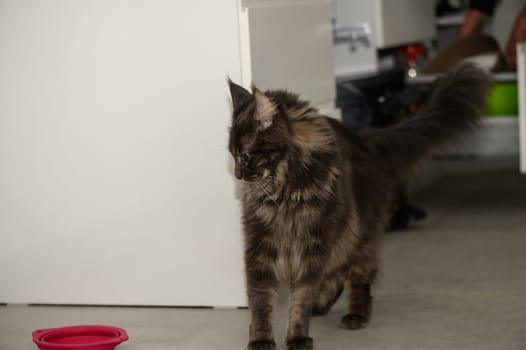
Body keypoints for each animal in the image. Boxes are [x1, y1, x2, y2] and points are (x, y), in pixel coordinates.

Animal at [229, 63, 492, 350]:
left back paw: (356, 314)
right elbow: (260, 301)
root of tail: (368, 143)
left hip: (359, 234)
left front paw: (297, 335)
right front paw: (261, 339)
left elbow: (301, 296)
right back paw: (322, 305)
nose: (237, 174)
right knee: (336, 273)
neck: (287, 192)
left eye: (245, 156)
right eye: (232, 155)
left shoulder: (313, 247)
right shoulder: (260, 248)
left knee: (357, 277)